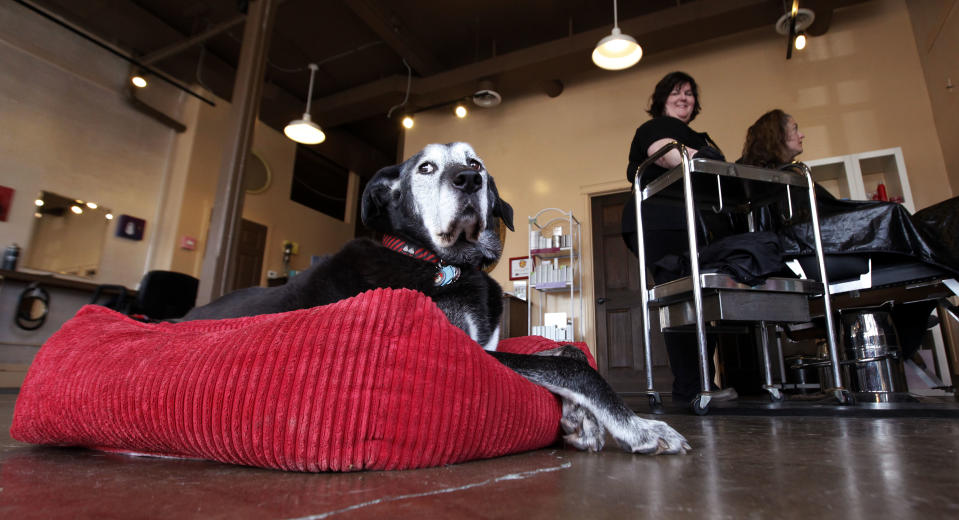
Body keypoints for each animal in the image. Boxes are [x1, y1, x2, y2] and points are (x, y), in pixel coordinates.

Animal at [182, 142, 688, 456]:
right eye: (425, 168)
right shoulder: (463, 347)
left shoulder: (488, 346)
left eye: (476, 163)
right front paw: (640, 427)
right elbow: (574, 367)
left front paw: (579, 422)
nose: (468, 179)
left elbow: (564, 351)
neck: (446, 263)